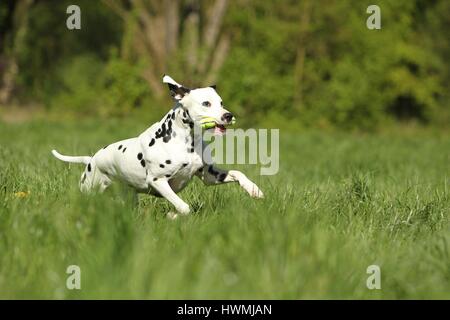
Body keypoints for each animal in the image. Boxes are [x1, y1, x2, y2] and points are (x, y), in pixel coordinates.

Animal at [51, 75, 264, 219]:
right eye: (206, 103)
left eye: (221, 102)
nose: (228, 115)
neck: (185, 142)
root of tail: (92, 160)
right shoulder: (158, 181)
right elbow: (184, 207)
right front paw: (174, 215)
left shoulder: (208, 176)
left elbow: (238, 173)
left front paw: (254, 190)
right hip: (90, 190)